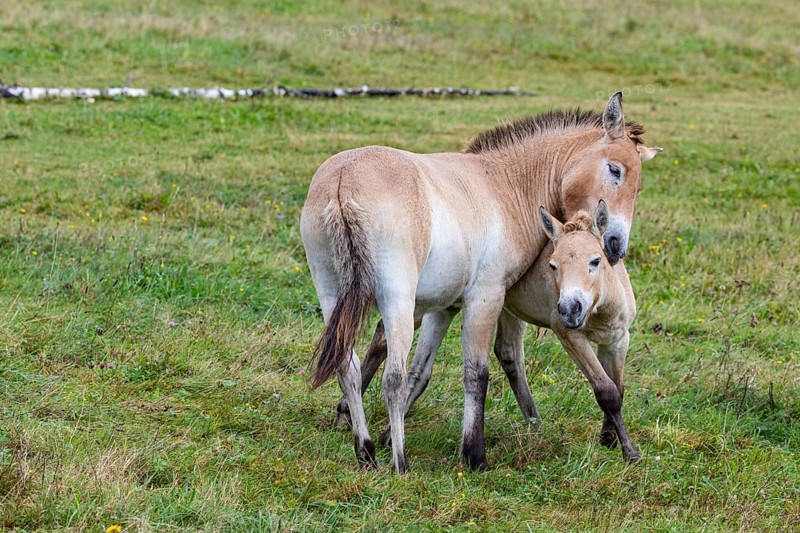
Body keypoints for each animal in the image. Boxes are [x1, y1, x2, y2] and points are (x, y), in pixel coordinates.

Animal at [301, 92, 660, 473]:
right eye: (615, 170)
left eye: (639, 188)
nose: (615, 247)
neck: (505, 185)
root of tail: (343, 180)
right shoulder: (485, 299)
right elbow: (476, 373)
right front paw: (475, 454)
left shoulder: (445, 307)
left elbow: (422, 371)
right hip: (396, 299)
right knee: (392, 376)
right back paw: (400, 463)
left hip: (332, 294)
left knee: (348, 366)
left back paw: (366, 451)